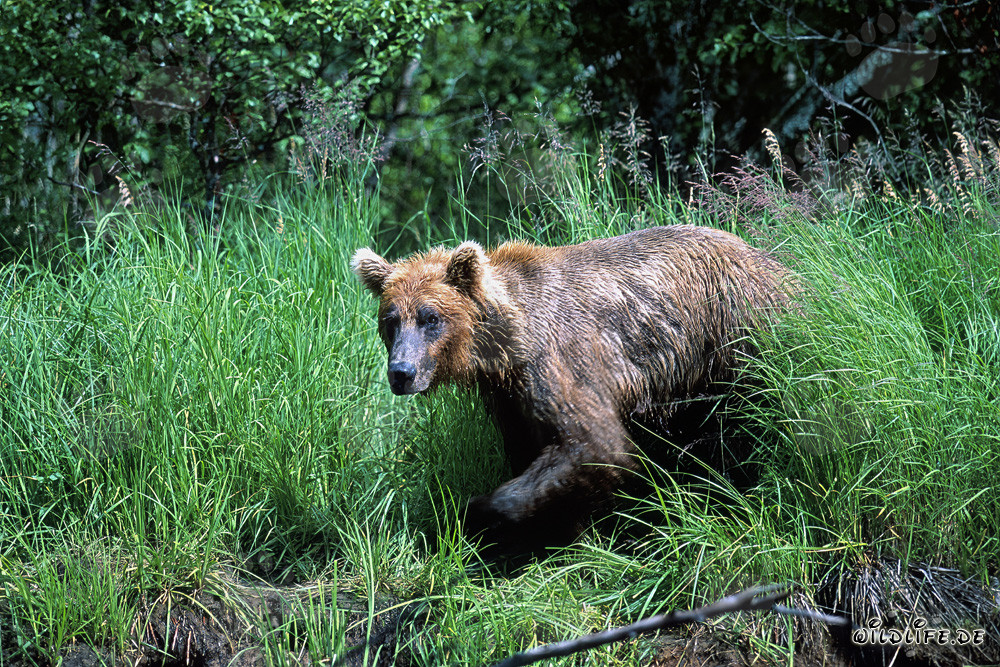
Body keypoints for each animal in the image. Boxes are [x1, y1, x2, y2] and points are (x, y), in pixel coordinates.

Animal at [352, 225, 792, 551]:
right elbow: (530, 449)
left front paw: (478, 511)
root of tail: (776, 266)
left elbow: (595, 444)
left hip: (736, 333)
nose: (402, 372)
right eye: (391, 320)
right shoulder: (509, 396)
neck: (506, 343)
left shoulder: (562, 362)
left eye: (430, 317)